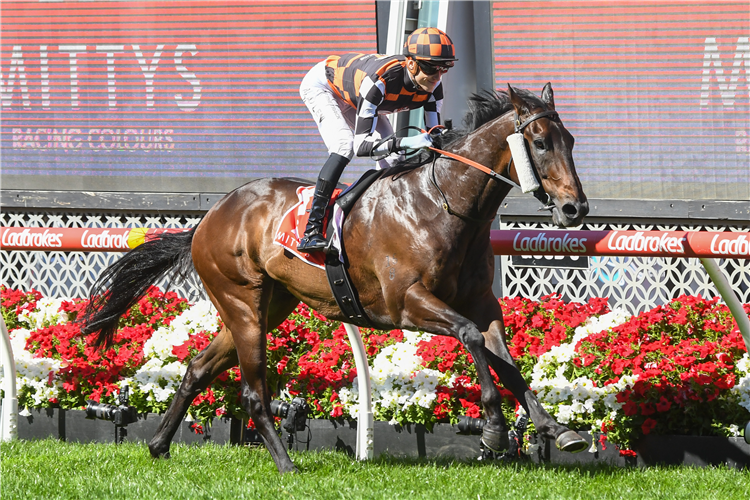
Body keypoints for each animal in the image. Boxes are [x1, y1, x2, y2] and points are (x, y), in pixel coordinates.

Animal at [79, 85, 592, 472]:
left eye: (569, 140)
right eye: (541, 143)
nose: (575, 208)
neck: (442, 205)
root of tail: (207, 220)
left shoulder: (483, 303)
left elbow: (505, 359)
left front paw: (557, 429)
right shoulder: (406, 303)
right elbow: (469, 337)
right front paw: (493, 430)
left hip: (269, 305)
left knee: (198, 368)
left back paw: (159, 444)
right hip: (243, 302)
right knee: (252, 392)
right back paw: (286, 464)